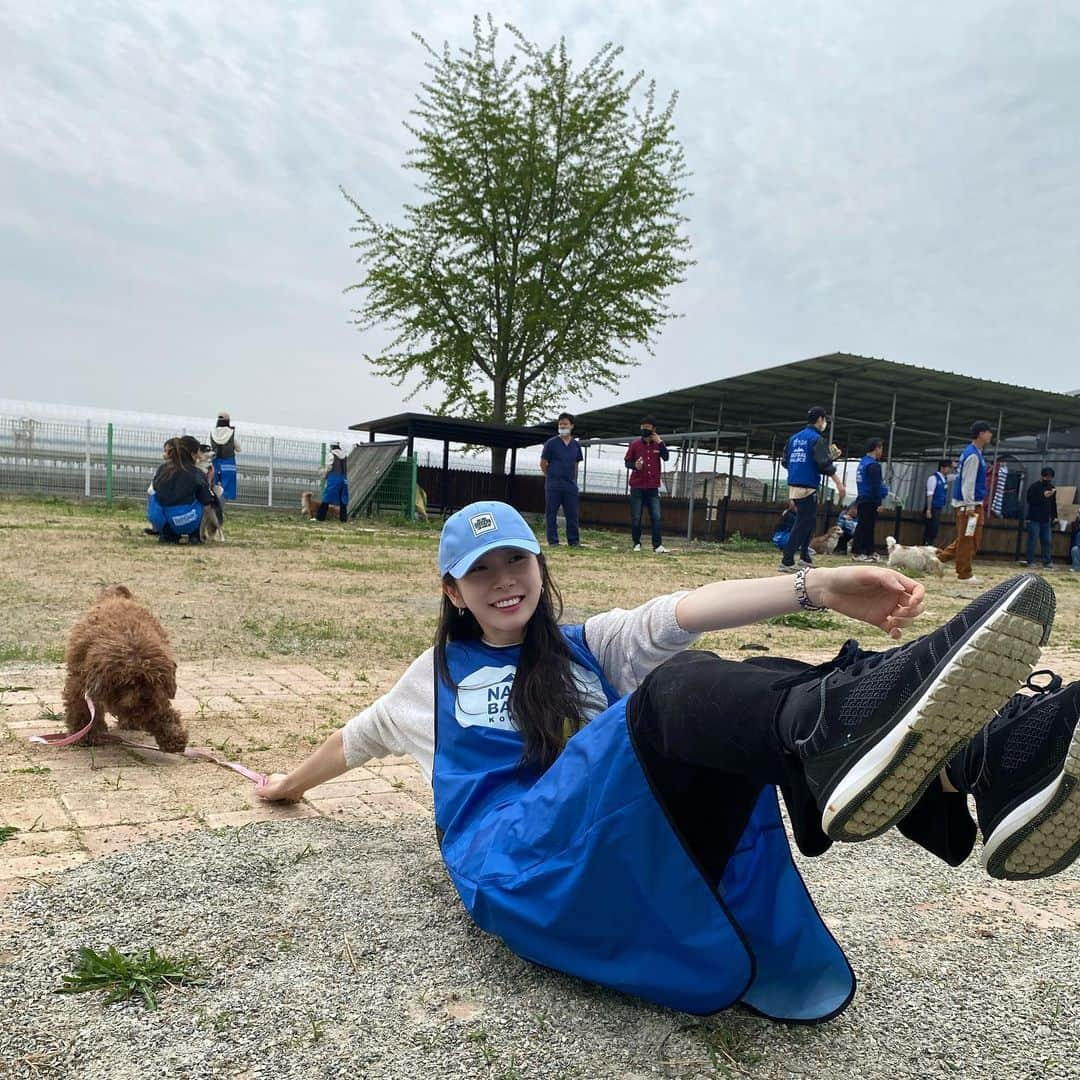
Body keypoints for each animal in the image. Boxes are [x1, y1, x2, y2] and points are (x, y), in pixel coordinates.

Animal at [62, 591, 187, 751]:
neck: (129, 638)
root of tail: (117, 596)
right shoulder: (80, 685)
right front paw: (85, 735)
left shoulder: (155, 699)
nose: (146, 697)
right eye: (130, 683)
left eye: (156, 681)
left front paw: (173, 735)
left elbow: (161, 712)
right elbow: (82, 710)